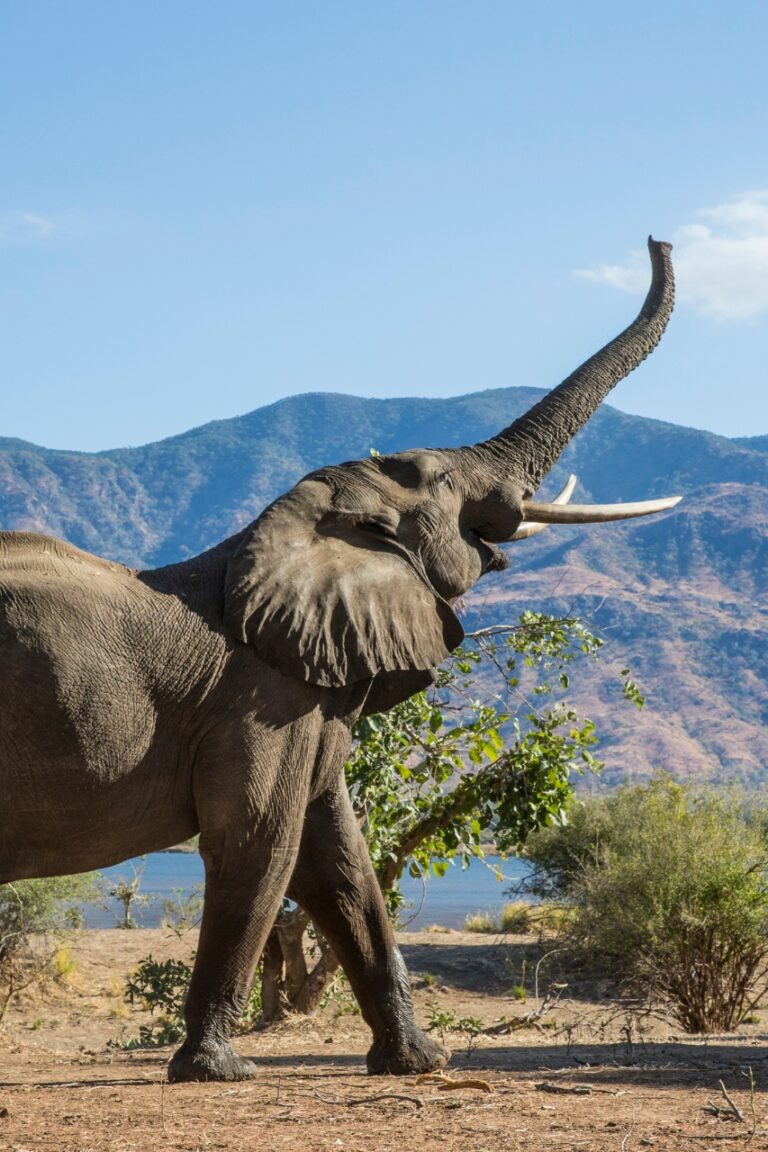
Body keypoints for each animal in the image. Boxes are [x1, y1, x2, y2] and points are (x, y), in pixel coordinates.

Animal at [0, 238, 679, 1082]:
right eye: (438, 481)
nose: (660, 242)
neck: (288, 527)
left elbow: (341, 859)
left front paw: (419, 1063)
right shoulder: (260, 700)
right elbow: (262, 841)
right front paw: (220, 1071)